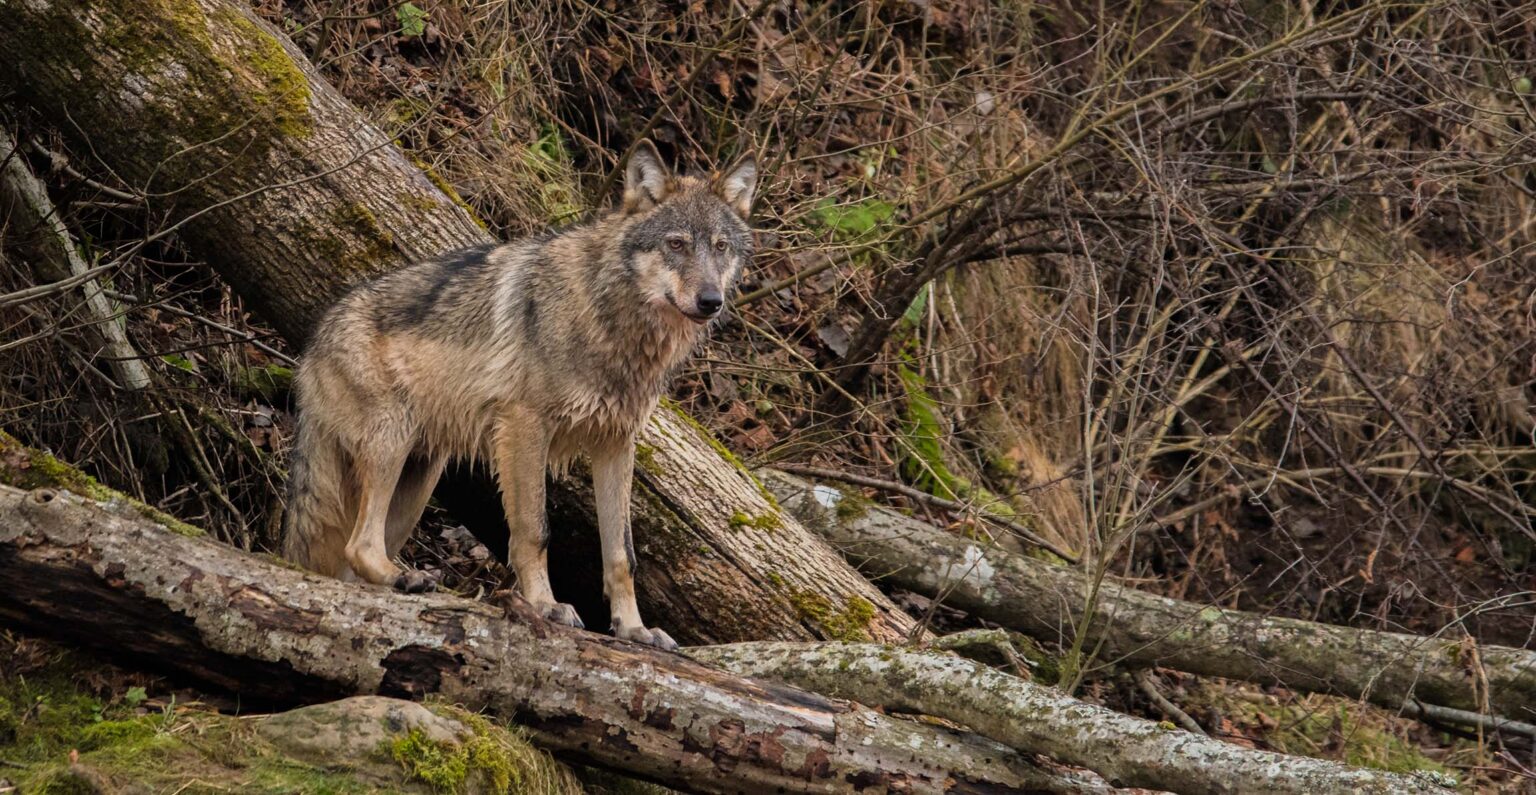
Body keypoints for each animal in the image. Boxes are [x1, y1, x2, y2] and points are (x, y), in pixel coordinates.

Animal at [280, 141, 757, 650]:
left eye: (720, 247)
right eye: (676, 244)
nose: (711, 301)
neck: (610, 322)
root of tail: (313, 343)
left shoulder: (616, 444)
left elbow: (621, 554)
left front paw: (634, 629)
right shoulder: (525, 427)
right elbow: (534, 530)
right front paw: (545, 605)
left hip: (418, 479)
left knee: (354, 561)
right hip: (392, 446)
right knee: (359, 544)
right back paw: (403, 577)